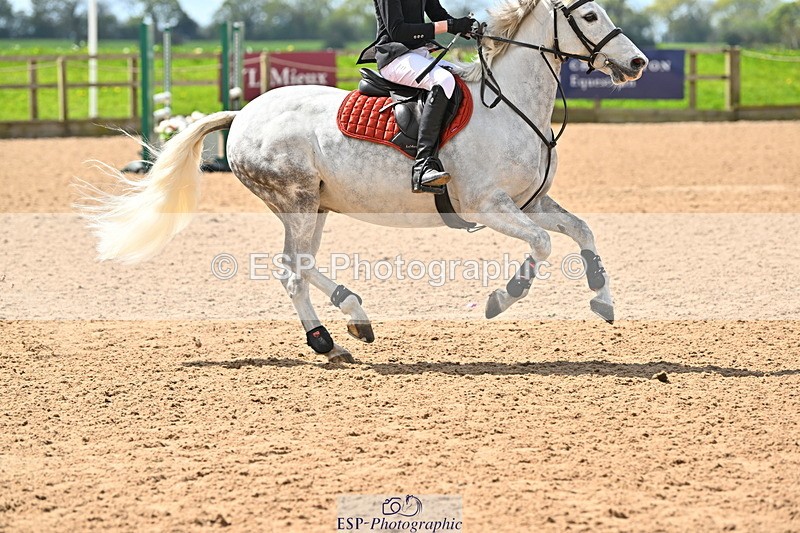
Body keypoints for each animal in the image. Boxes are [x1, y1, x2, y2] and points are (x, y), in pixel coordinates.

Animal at [78, 0, 648, 363]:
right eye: (590, 15)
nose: (638, 62)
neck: (508, 105)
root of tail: (242, 114)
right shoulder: (487, 206)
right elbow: (543, 246)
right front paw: (502, 297)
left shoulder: (531, 202)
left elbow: (582, 231)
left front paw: (602, 300)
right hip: (296, 200)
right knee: (291, 270)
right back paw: (329, 336)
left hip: (316, 206)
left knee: (301, 266)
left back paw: (351, 320)